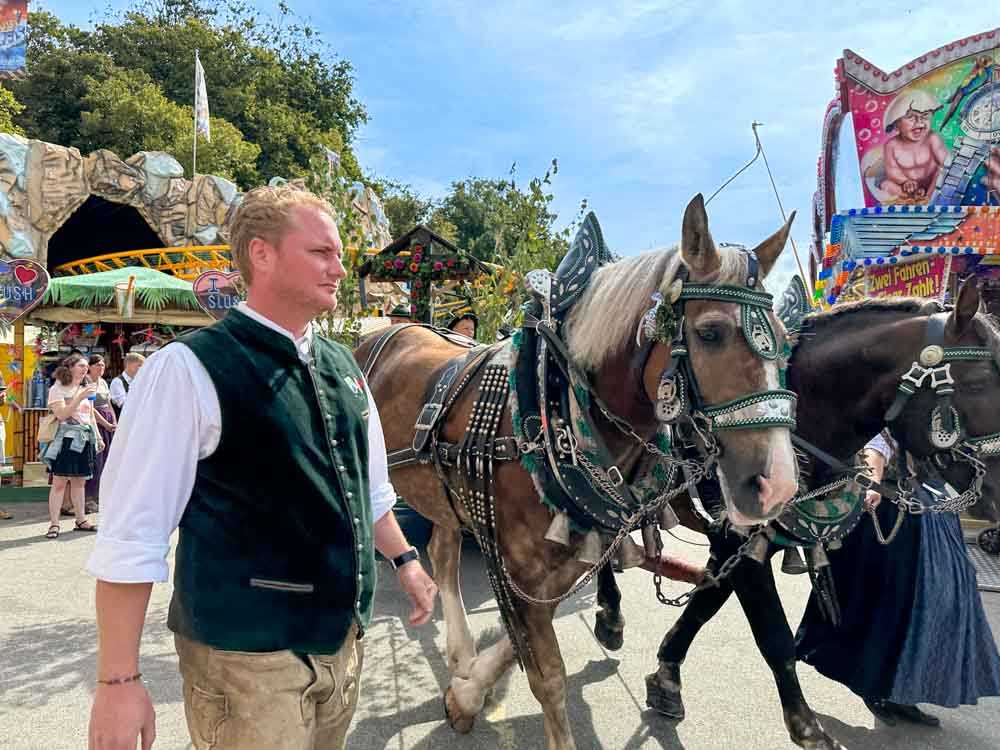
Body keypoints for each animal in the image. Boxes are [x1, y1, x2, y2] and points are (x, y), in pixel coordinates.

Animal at [356, 195, 800, 750]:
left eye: (785, 339)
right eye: (710, 332)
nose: (778, 484)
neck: (552, 408)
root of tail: (385, 329)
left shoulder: (557, 561)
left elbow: (521, 645)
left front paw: (467, 691)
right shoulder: (519, 565)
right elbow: (547, 676)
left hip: (445, 491)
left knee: (442, 553)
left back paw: (459, 654)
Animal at [592, 282, 1000, 750]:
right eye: (979, 381)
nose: (999, 495)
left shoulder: (735, 547)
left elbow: (704, 604)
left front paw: (666, 676)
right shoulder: (739, 544)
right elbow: (774, 635)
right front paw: (806, 725)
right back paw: (609, 613)